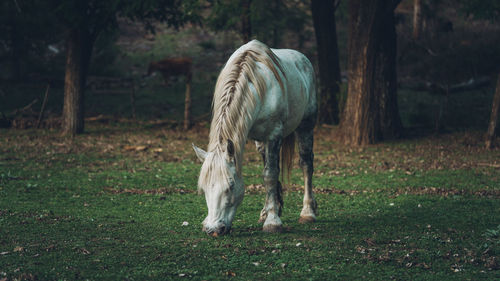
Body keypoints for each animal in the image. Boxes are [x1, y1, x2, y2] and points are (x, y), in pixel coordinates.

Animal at [191, 39, 316, 235]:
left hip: (306, 125)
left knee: (306, 164)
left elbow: (270, 175)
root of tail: (302, 58)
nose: (213, 229)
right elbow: (268, 175)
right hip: (262, 142)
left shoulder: (274, 134)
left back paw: (308, 212)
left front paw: (273, 223)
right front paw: (270, 213)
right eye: (203, 188)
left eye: (230, 186)